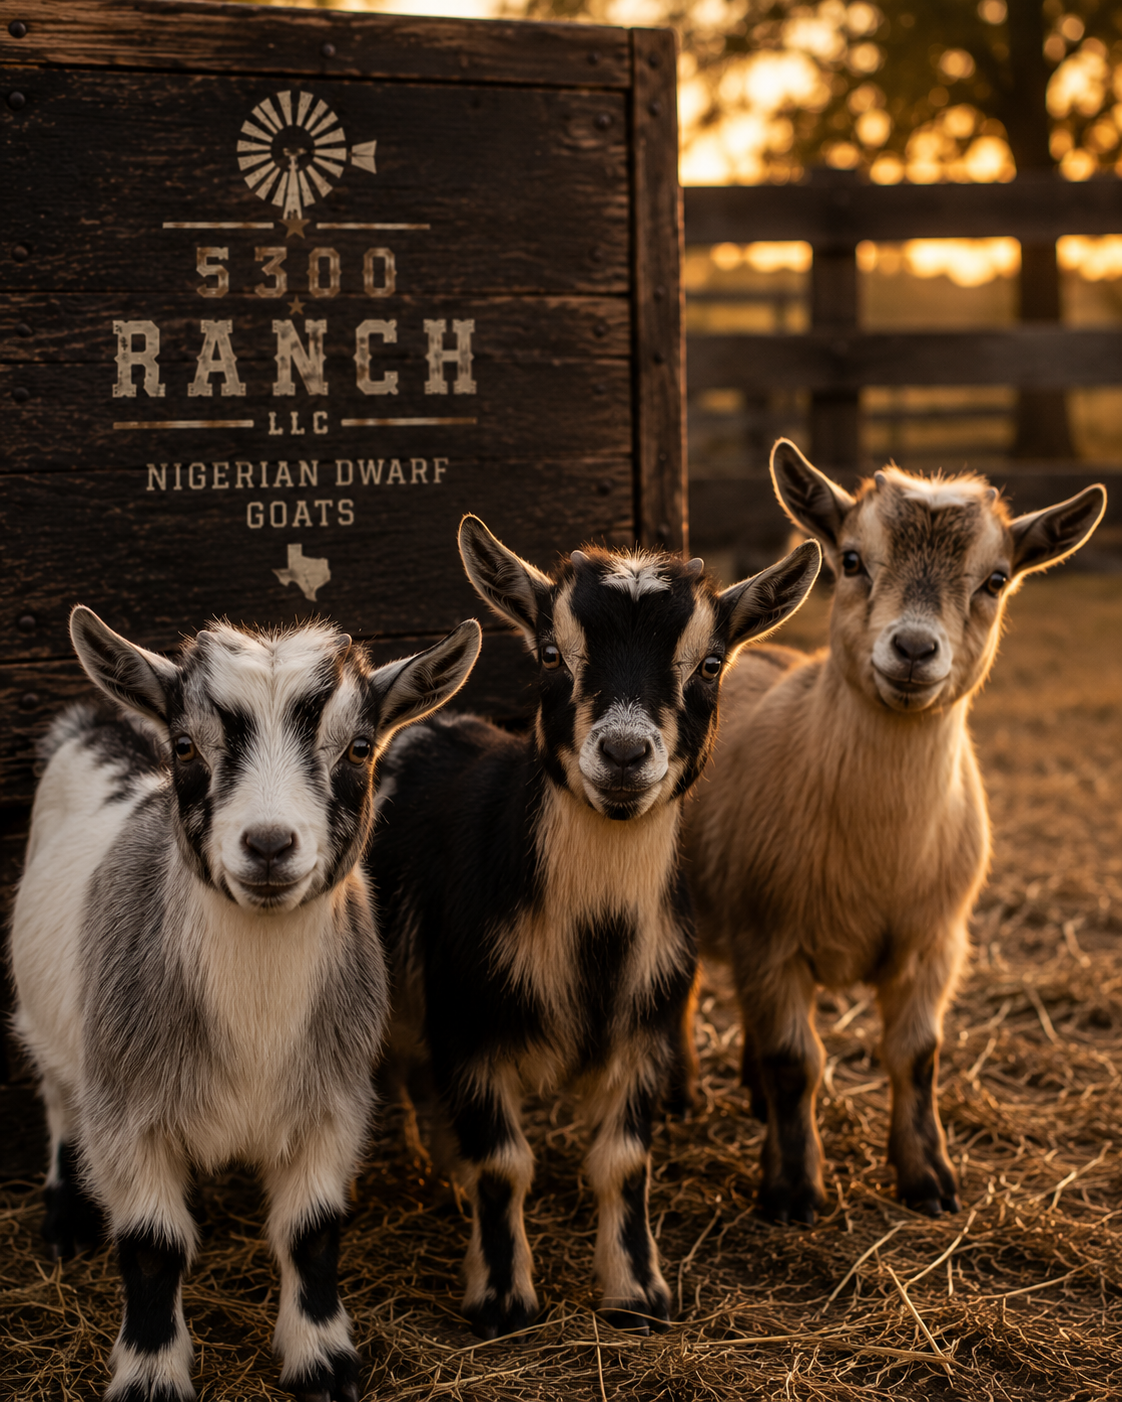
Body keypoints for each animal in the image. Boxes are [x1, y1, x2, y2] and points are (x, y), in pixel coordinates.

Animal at [10, 607, 481, 1402]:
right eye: (184, 746)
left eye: (359, 748)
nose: (267, 844)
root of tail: (101, 715)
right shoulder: (129, 1108)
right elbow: (152, 1247)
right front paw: (151, 1376)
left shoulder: (331, 1105)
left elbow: (312, 1233)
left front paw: (324, 1364)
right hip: (56, 1027)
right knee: (56, 1099)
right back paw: (66, 1215)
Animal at [365, 515, 821, 1337]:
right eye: (552, 653)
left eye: (710, 663)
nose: (624, 752)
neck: (593, 938)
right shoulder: (471, 1027)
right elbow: (503, 1164)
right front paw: (502, 1300)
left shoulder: (646, 1035)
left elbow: (623, 1164)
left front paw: (638, 1294)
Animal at [685, 439, 1106, 1224]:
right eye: (851, 559)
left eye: (996, 579)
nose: (913, 649)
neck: (880, 854)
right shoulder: (769, 940)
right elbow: (797, 1061)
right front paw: (794, 1192)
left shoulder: (935, 944)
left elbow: (917, 1055)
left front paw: (929, 1180)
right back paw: (680, 1094)